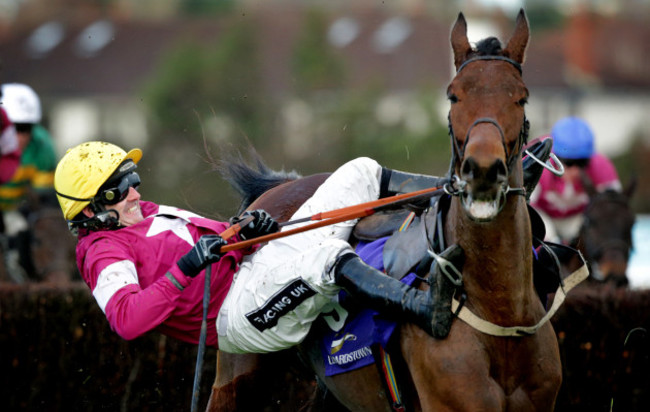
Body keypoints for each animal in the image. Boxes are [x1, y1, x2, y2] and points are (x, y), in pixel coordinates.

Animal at [210, 9, 564, 412]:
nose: (484, 171)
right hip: (242, 365)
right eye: (454, 95)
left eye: (521, 98)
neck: (499, 312)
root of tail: (278, 190)